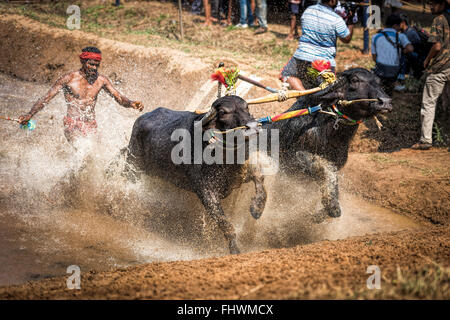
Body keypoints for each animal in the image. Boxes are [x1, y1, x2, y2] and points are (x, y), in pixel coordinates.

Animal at [124, 94, 264, 254]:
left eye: (246, 107)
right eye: (223, 112)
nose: (253, 127)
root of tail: (141, 119)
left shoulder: (243, 172)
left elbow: (260, 179)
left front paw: (257, 208)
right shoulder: (206, 193)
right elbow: (225, 223)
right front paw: (234, 248)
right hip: (133, 166)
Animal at [264, 68, 390, 220]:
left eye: (379, 82)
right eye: (355, 80)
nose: (385, 102)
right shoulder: (293, 159)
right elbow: (322, 168)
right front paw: (332, 205)